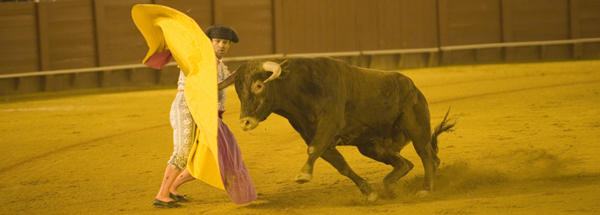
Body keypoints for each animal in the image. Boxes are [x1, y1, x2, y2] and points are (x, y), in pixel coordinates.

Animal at [220, 57, 454, 202]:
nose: (244, 122)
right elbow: (341, 165)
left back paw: (425, 190)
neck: (300, 88)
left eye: (259, 85)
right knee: (405, 163)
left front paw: (303, 175)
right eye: (238, 90)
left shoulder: (329, 124)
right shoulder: (313, 135)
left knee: (428, 157)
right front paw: (369, 193)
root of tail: (413, 87)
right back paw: (389, 187)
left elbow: (314, 150)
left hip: (415, 127)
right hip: (370, 146)